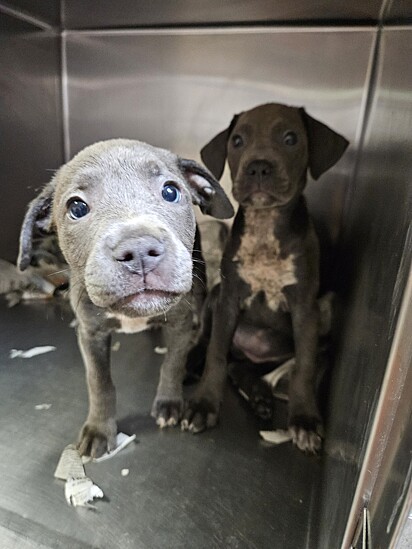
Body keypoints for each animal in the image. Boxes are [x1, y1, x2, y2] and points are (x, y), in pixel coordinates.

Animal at [18, 139, 235, 456]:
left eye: (171, 191)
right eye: (77, 207)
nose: (140, 251)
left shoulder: (181, 323)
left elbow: (172, 363)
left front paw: (169, 403)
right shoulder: (90, 333)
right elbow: (99, 382)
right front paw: (99, 429)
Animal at [183, 104, 348, 454]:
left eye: (290, 138)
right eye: (237, 141)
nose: (258, 167)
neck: (264, 225)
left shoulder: (305, 309)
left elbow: (304, 366)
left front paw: (304, 420)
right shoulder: (229, 299)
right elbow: (215, 354)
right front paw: (204, 405)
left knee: (243, 367)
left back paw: (259, 395)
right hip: (215, 297)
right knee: (211, 345)